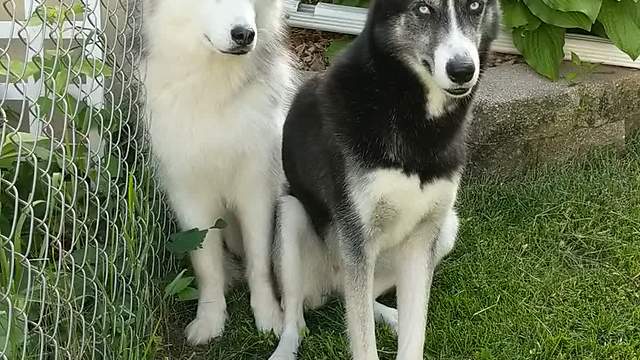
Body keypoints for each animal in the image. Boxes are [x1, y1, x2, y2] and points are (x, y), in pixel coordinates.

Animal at [142, 0, 292, 344]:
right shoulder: (189, 196)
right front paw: (210, 319)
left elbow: (259, 261)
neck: (214, 86)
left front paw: (268, 316)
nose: (244, 35)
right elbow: (206, 265)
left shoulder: (257, 190)